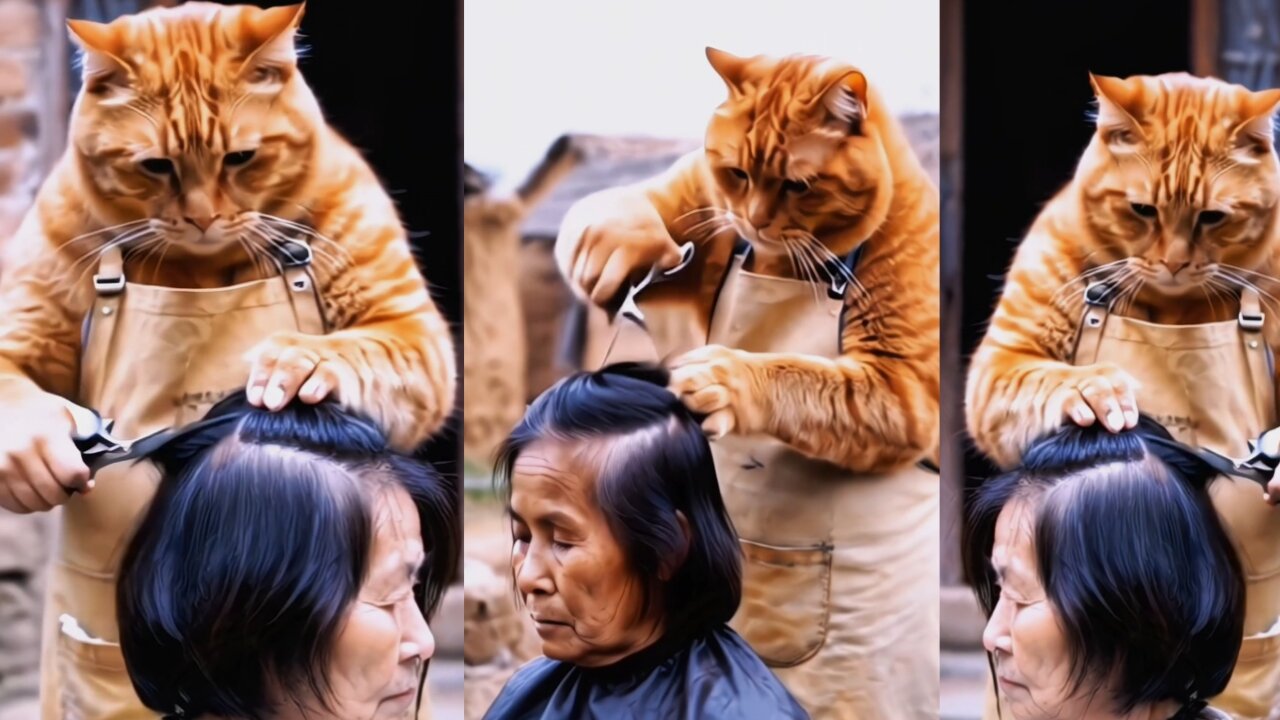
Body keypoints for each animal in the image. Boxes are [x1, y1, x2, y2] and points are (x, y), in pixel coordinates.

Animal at [0, 2, 455, 450]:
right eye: (156, 166)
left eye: (240, 158)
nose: (203, 219)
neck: (205, 271)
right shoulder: (24, 329)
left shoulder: (410, 332)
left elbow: (353, 348)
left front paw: (297, 360)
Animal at [560, 47, 942, 468]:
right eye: (738, 174)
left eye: (797, 186)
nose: (755, 221)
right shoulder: (692, 193)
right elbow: (622, 205)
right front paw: (617, 249)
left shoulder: (901, 386)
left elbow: (801, 376)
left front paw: (728, 380)